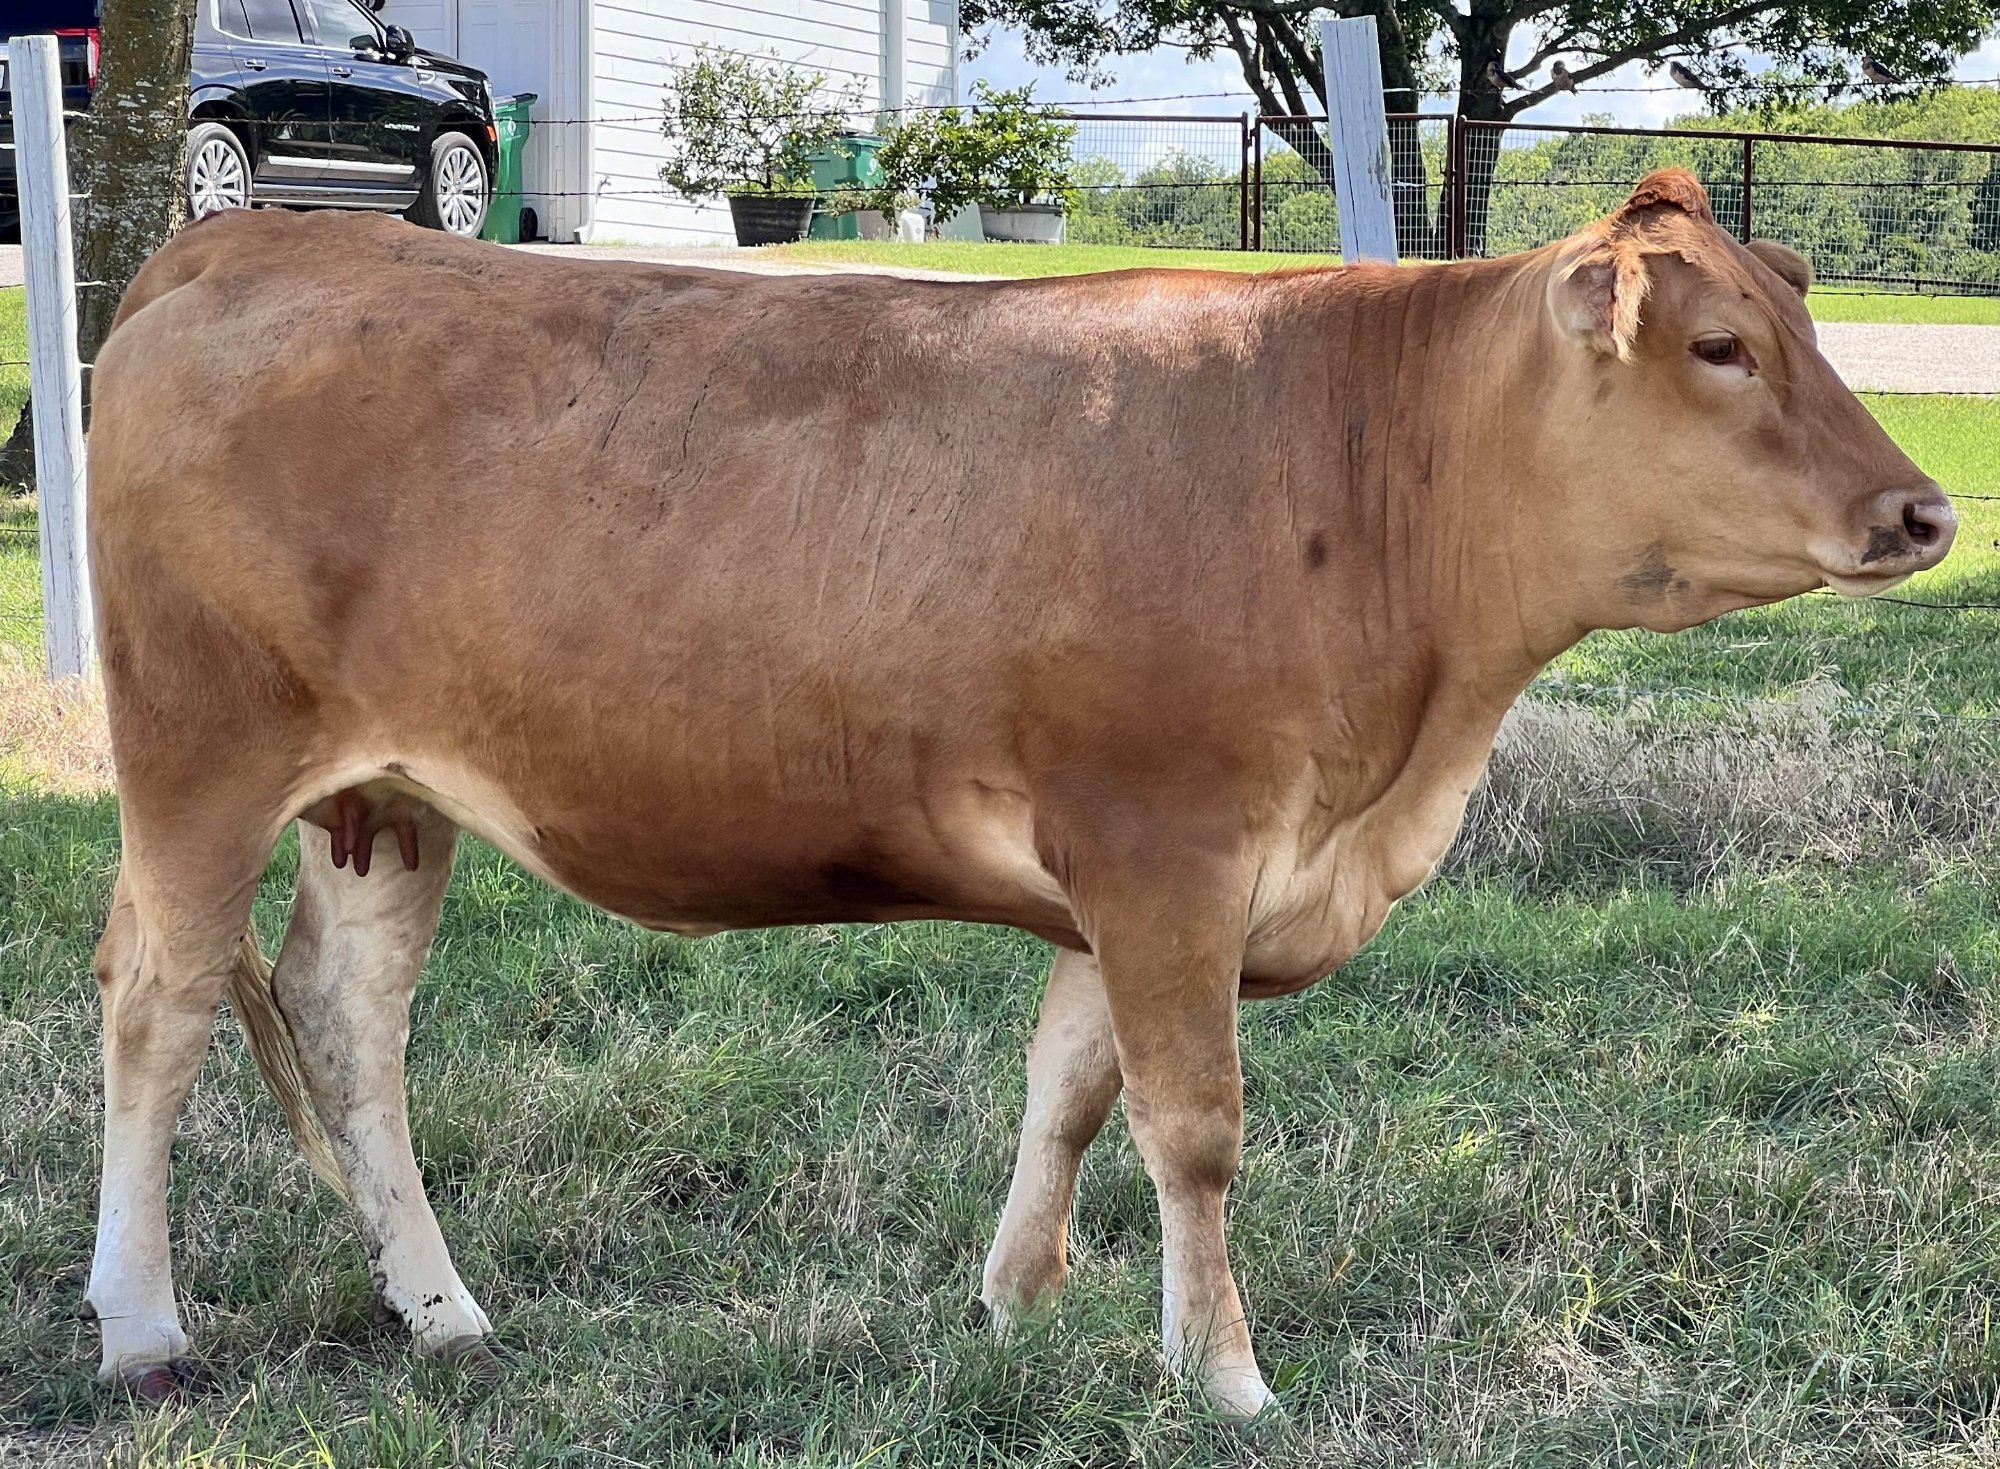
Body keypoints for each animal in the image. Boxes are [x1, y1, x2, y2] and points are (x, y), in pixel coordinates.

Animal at [80, 169, 1953, 1416]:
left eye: (1798, 324)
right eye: (1719, 344)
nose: (1925, 510)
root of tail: (260, 235)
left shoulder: (1122, 872)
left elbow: (1069, 1083)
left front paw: (1020, 1303)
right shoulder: (1169, 841)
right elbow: (1191, 1121)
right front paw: (1227, 1375)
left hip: (388, 798)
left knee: (345, 1020)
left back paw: (444, 1309)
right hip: (201, 754)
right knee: (158, 1006)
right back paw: (143, 1328)